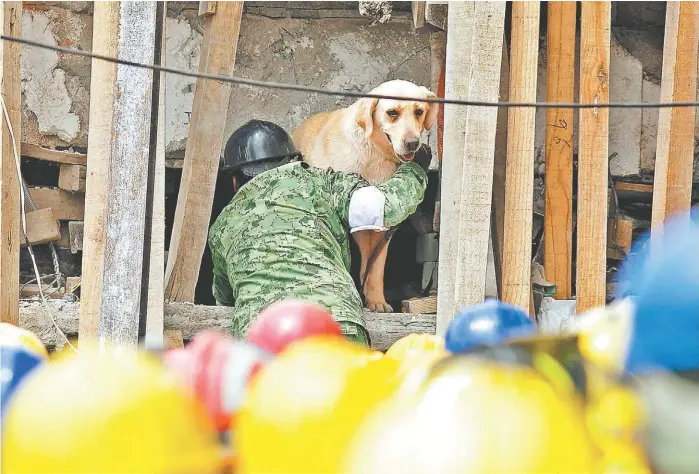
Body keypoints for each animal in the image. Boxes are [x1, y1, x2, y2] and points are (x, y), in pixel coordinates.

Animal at [292, 80, 434, 312]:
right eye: (392, 113)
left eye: (419, 112)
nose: (413, 143)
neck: (374, 155)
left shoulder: (382, 220)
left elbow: (376, 266)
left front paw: (376, 300)